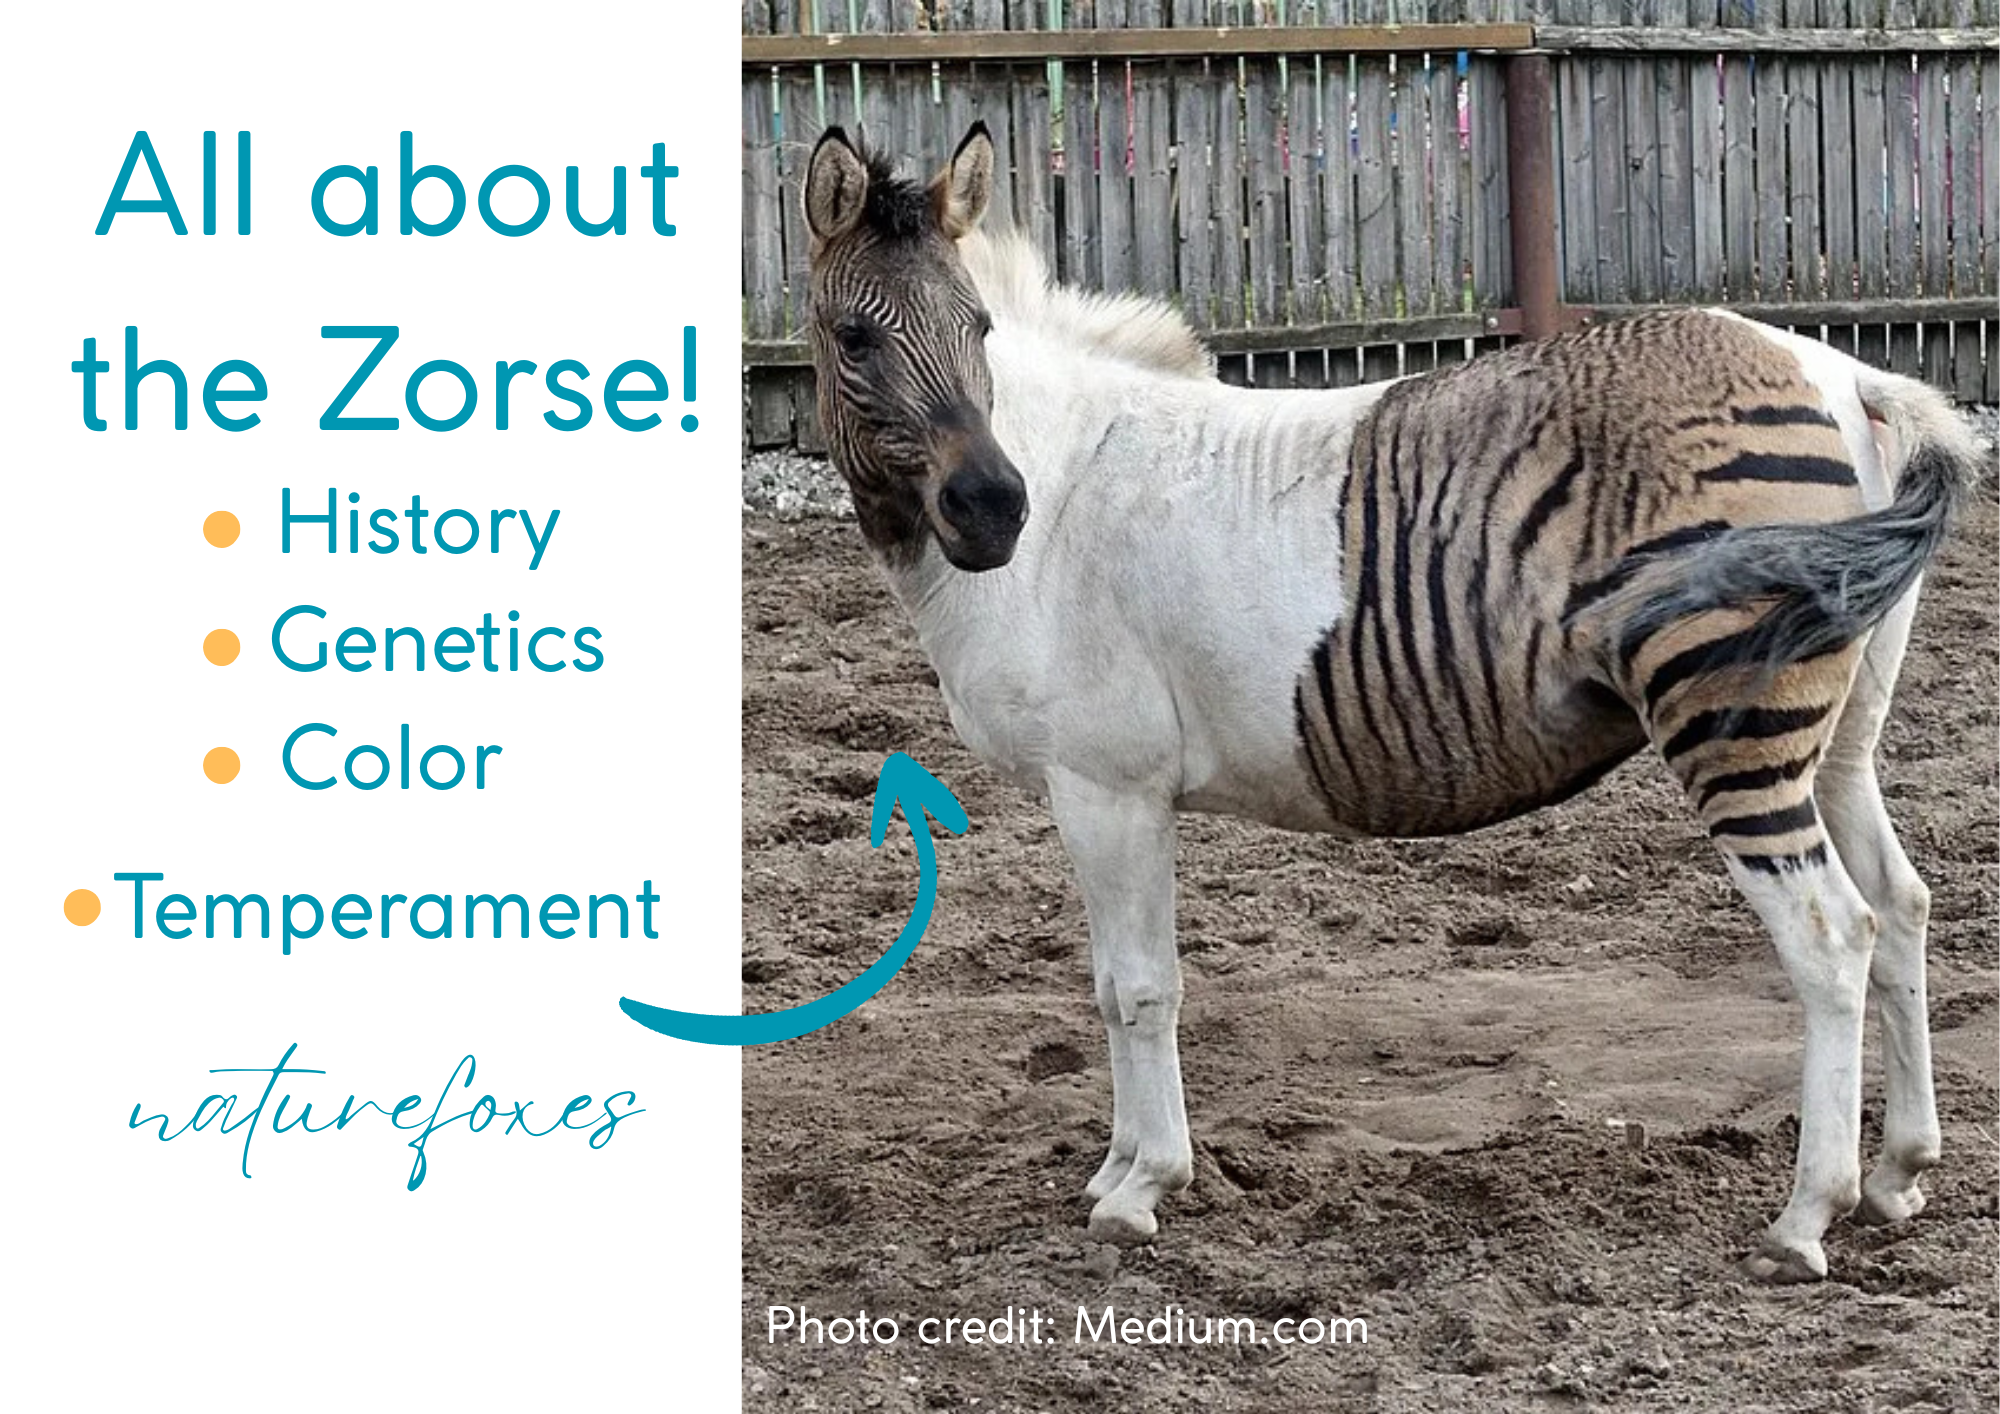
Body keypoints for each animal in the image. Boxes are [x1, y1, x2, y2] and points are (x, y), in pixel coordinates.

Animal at [795, 120, 1981, 1284]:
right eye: (854, 338)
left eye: (979, 326)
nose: (995, 511)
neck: (1066, 483)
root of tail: (1839, 375)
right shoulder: (1103, 794)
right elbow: (1107, 982)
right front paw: (1115, 1171)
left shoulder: (1107, 785)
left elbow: (1137, 986)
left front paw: (1140, 1189)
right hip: (1834, 739)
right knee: (1901, 906)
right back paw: (1897, 1174)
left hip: (1734, 723)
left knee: (1830, 935)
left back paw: (1805, 1215)